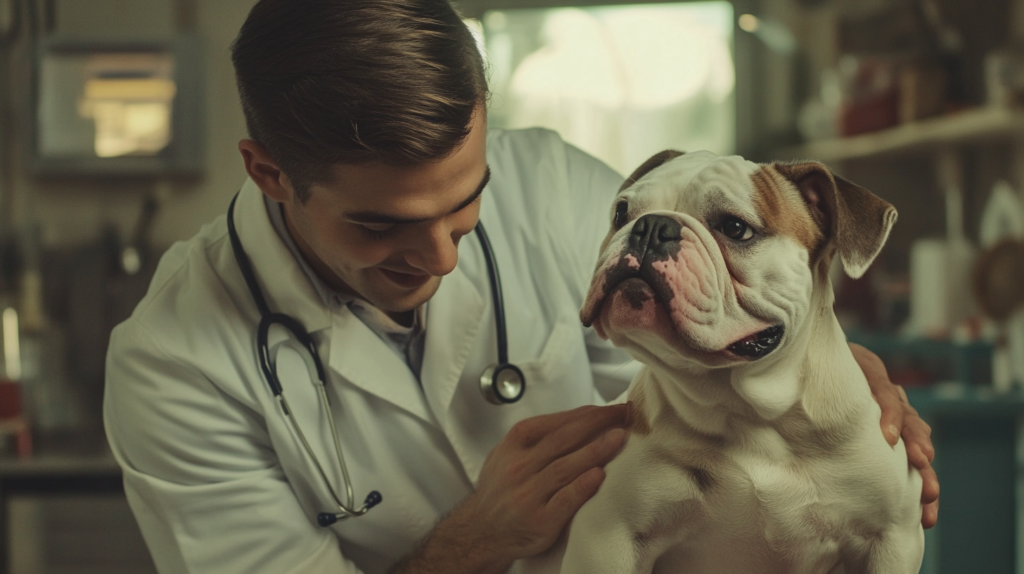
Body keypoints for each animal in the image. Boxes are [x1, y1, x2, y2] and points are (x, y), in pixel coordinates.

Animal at [524, 150, 925, 568]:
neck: (749, 410)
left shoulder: (894, 537)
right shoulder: (608, 536)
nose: (651, 226)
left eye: (735, 228)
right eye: (621, 212)